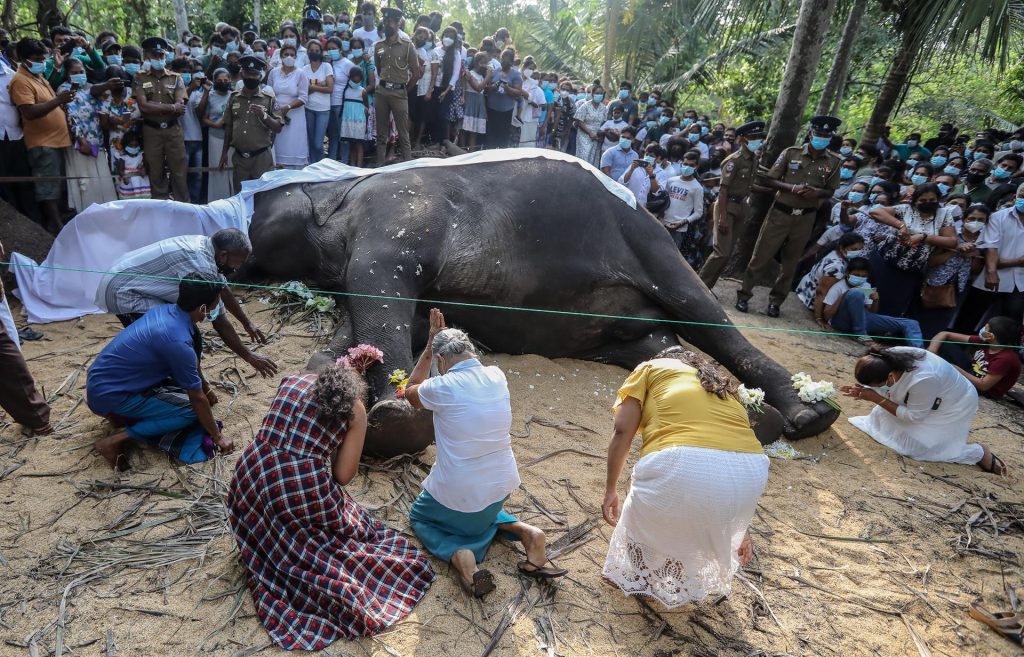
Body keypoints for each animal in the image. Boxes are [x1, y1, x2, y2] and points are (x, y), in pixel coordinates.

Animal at [243, 156, 837, 456]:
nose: (241, 257)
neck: (338, 189)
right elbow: (378, 314)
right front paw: (331, 373)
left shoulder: (394, 213)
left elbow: (380, 280)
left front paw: (393, 420)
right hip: (623, 325)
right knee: (659, 346)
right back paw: (749, 418)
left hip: (650, 242)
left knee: (702, 311)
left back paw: (807, 413)